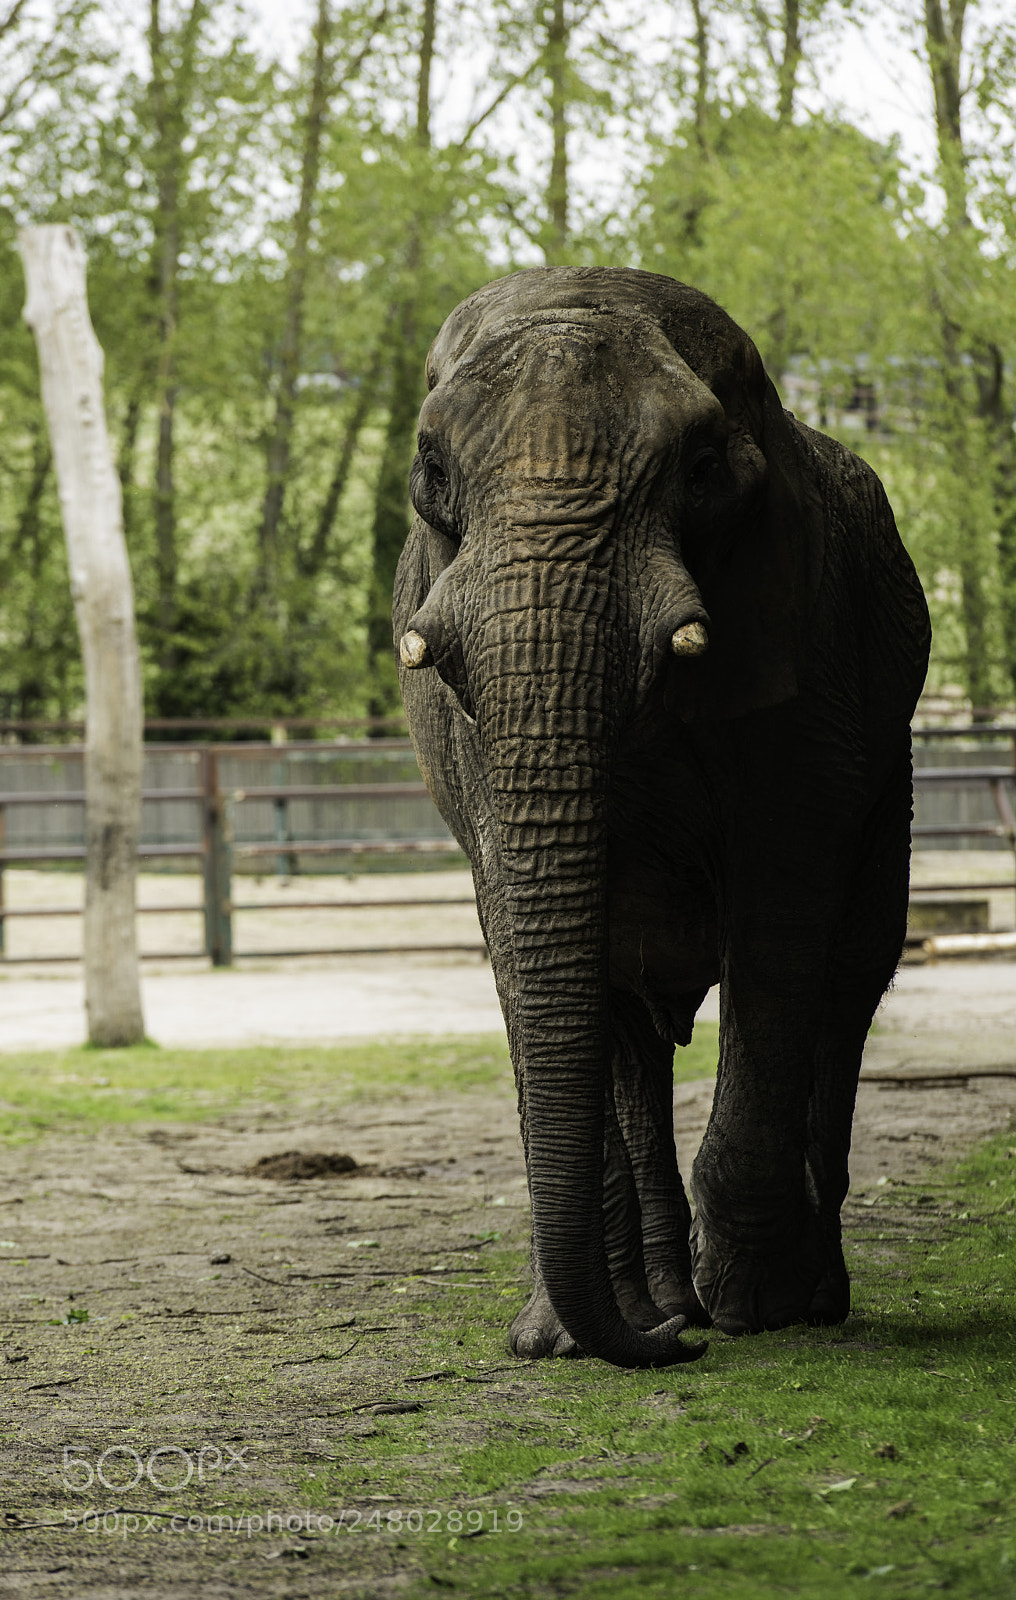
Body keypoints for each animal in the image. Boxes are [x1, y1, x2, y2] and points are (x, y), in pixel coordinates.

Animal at [393, 266, 931, 1369]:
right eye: (430, 469)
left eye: (701, 468)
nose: (673, 1348)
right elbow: (523, 923)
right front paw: (571, 1339)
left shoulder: (810, 641)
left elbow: (780, 908)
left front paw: (753, 1307)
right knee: (633, 1025)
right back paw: (660, 1298)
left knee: (846, 981)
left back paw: (789, 1299)